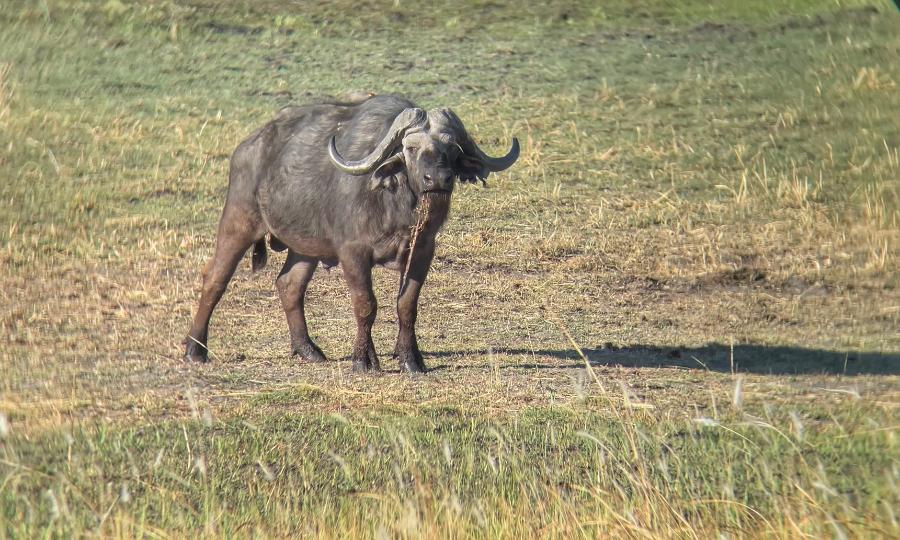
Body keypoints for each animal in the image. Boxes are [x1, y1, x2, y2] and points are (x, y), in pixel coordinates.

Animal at [183, 94, 519, 373]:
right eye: (410, 148)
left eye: (451, 148)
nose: (437, 179)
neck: (395, 203)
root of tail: (248, 146)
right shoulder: (353, 252)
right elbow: (366, 304)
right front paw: (364, 360)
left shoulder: (423, 249)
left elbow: (407, 304)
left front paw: (410, 359)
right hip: (238, 220)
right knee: (214, 278)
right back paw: (195, 350)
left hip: (305, 247)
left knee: (289, 285)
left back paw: (308, 349)